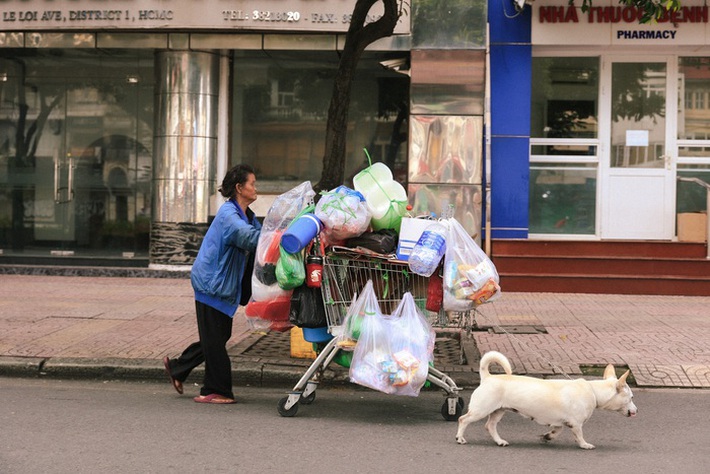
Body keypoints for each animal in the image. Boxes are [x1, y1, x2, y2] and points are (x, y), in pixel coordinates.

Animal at [458, 352, 636, 448]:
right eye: (631, 397)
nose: (636, 410)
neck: (593, 390)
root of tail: (487, 377)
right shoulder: (576, 424)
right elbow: (579, 435)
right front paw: (584, 444)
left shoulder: (560, 423)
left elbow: (557, 431)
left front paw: (547, 437)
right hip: (481, 410)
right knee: (463, 419)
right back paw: (460, 438)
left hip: (498, 410)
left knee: (490, 426)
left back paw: (499, 441)